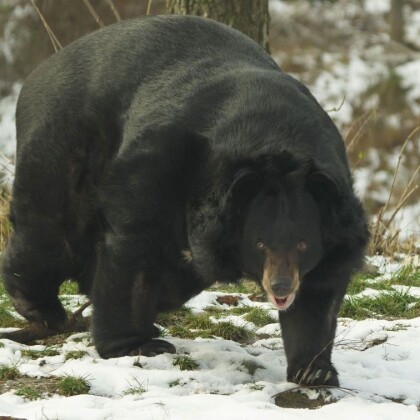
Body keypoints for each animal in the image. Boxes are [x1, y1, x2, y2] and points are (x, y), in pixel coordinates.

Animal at [1, 14, 368, 386]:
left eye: (304, 244)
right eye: (260, 244)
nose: (280, 286)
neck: (277, 133)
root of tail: (40, 72)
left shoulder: (334, 224)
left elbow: (317, 297)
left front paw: (315, 371)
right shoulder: (162, 163)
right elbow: (134, 249)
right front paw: (134, 345)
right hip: (65, 146)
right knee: (51, 230)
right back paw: (42, 308)